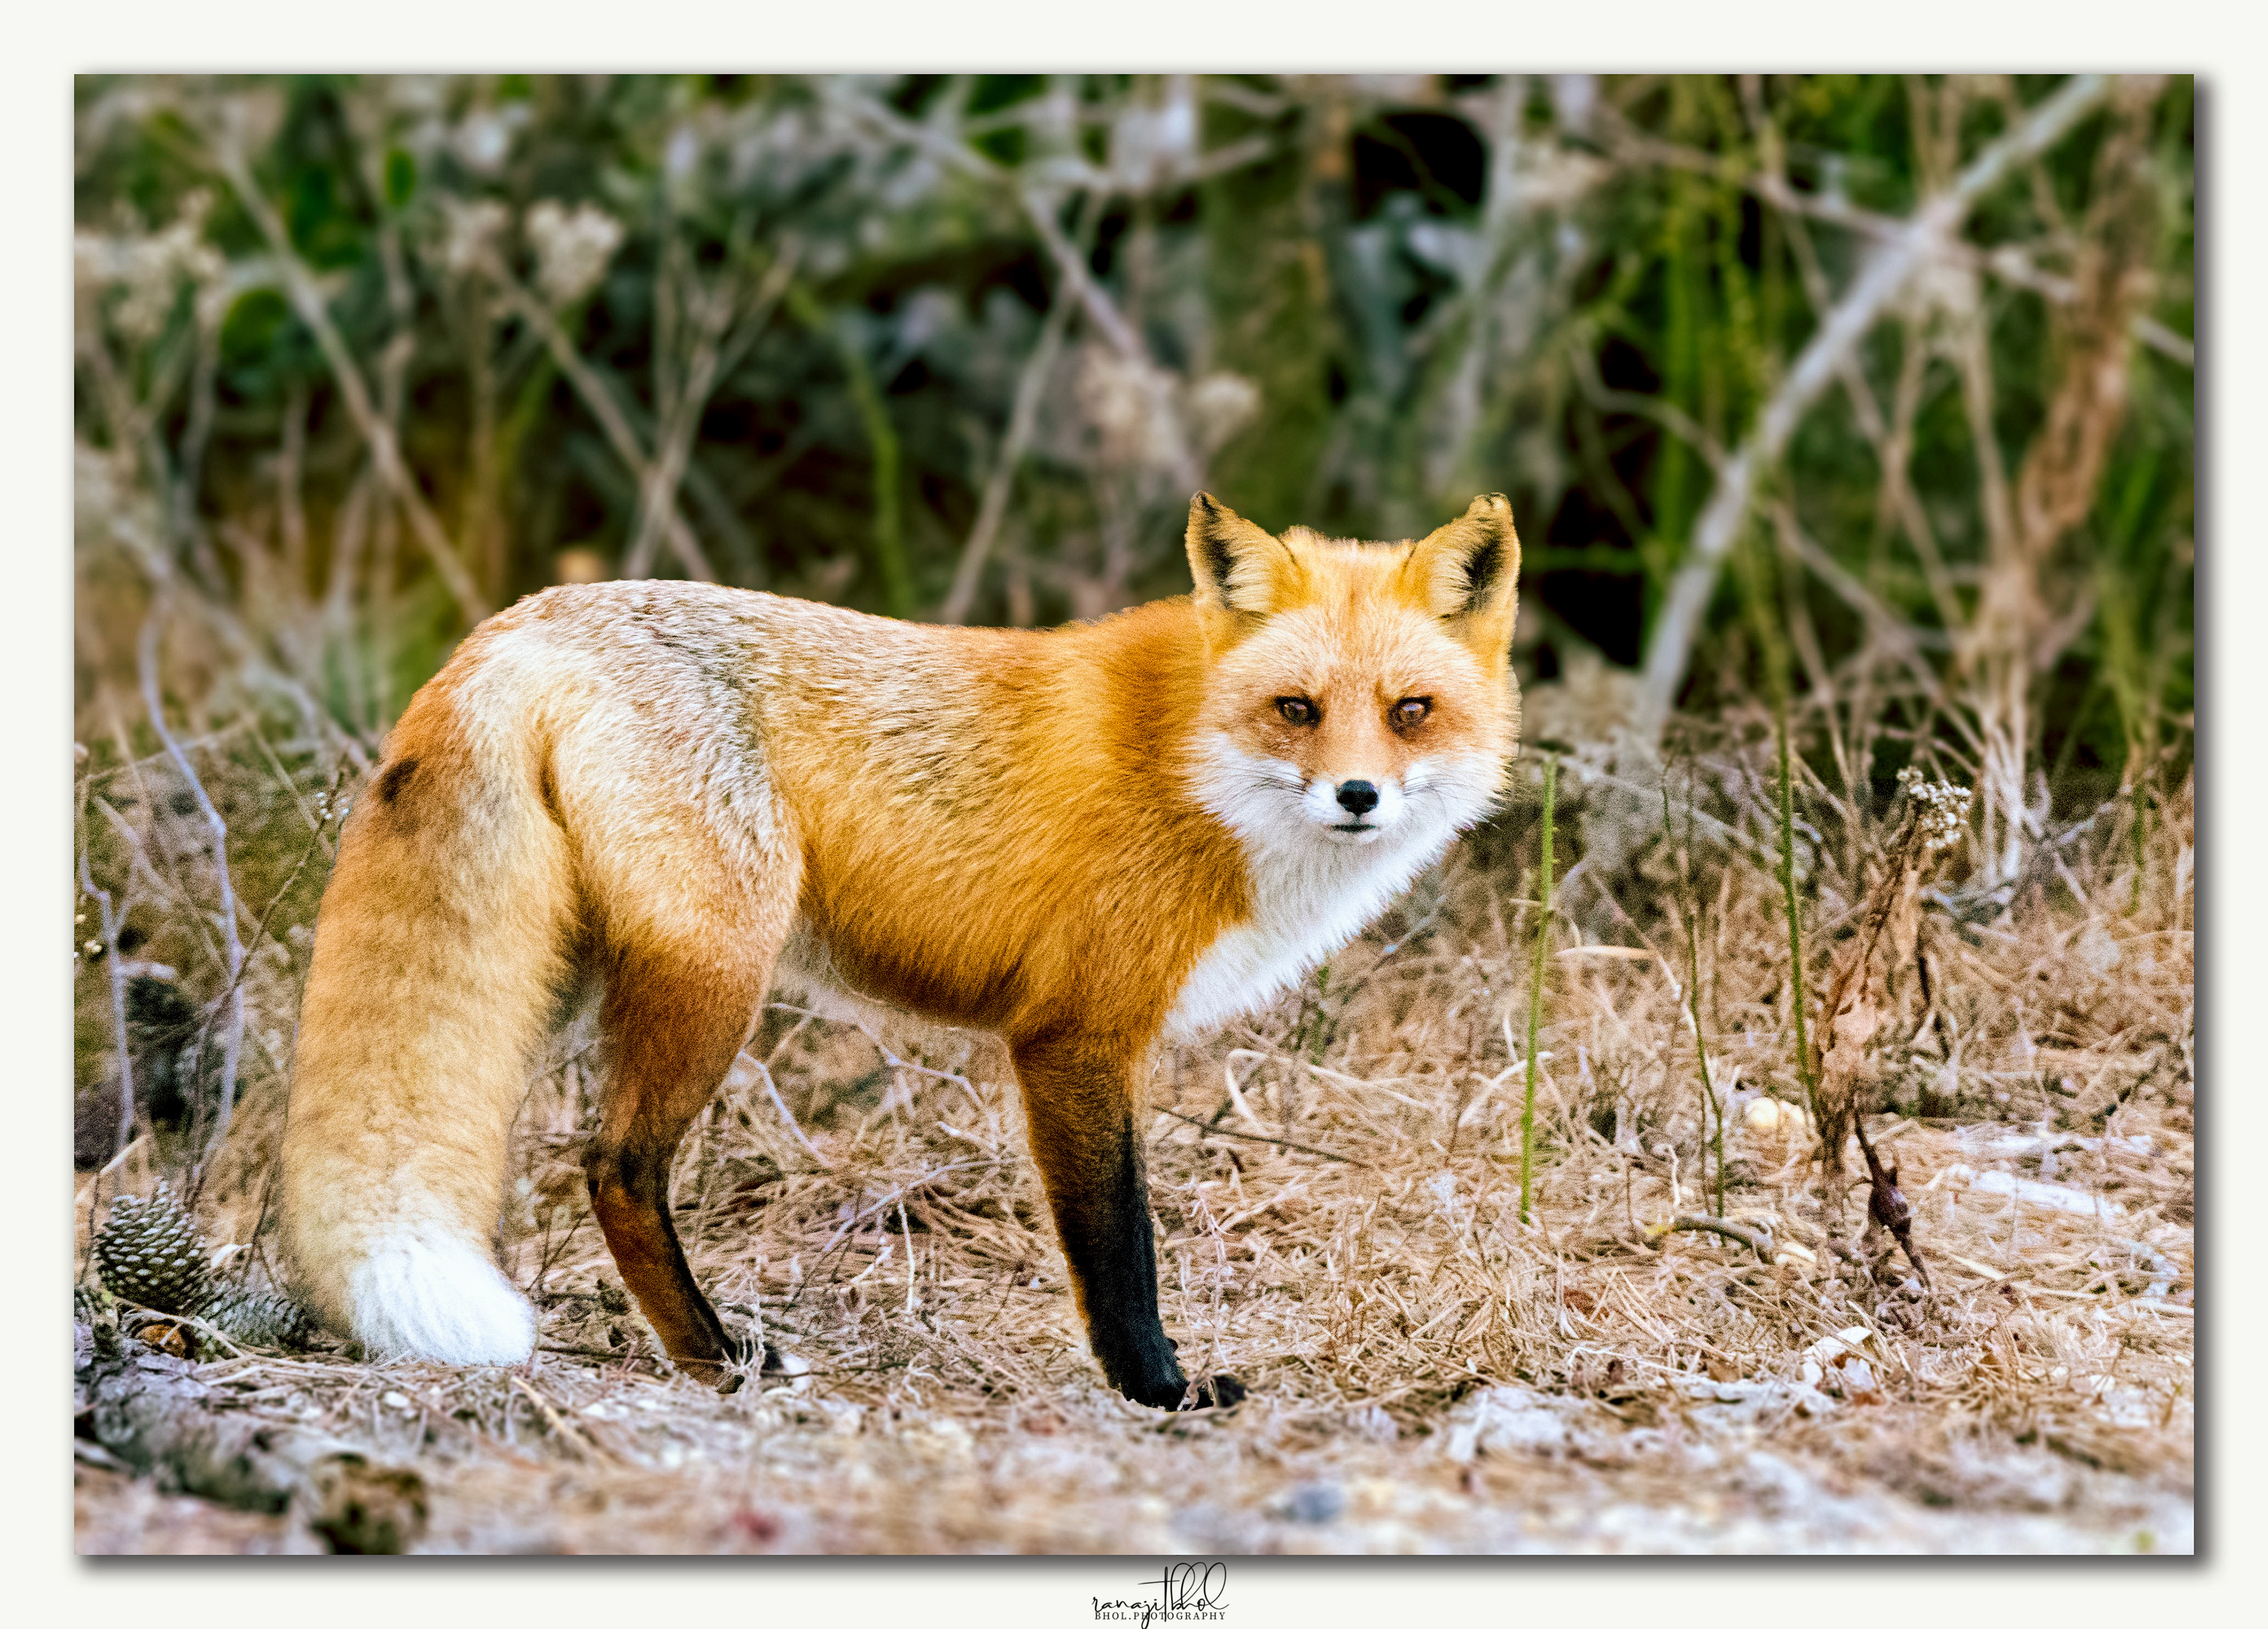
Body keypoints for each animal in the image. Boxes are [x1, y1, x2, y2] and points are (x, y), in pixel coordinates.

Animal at [278, 491, 1522, 1408]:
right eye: (1297, 709)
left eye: (1410, 710)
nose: (1357, 796)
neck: (1194, 762)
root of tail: (518, 621)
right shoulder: (1075, 1036)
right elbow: (1119, 1245)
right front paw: (1157, 1390)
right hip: (714, 975)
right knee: (615, 1164)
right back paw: (719, 1355)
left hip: (560, 974)